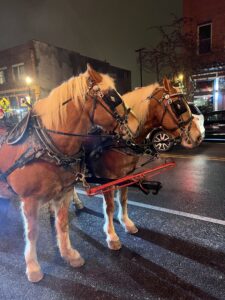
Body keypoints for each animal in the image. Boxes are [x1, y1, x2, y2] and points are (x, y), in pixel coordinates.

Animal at [0, 65, 139, 282]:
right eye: (112, 97)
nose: (135, 124)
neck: (47, 145)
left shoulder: (63, 193)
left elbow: (62, 223)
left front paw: (68, 254)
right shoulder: (29, 200)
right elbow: (32, 232)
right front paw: (33, 267)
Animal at [72, 77, 202, 248]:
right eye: (178, 105)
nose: (198, 136)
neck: (119, 140)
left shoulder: (125, 176)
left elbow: (123, 200)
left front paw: (126, 223)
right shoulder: (107, 180)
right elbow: (109, 207)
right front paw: (111, 235)